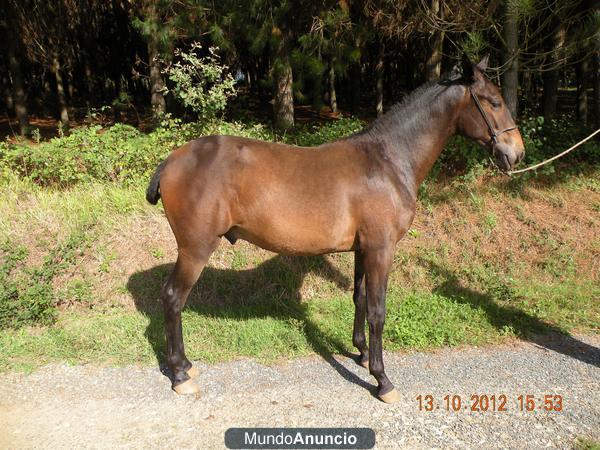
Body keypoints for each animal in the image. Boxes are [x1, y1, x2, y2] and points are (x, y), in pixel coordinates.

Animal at [144, 54, 520, 402]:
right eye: (494, 101)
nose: (517, 152)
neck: (388, 160)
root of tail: (171, 161)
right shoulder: (382, 249)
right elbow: (378, 310)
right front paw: (382, 380)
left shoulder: (363, 249)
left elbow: (360, 298)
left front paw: (362, 353)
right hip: (195, 249)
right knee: (173, 297)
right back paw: (180, 374)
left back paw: (185, 365)